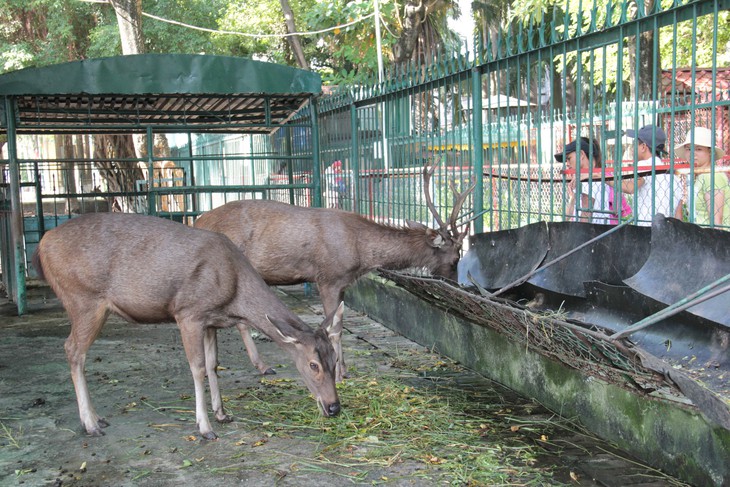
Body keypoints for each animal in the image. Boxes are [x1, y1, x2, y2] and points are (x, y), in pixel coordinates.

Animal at [32, 212, 344, 440]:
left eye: (334, 359)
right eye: (313, 365)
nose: (334, 407)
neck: (234, 293)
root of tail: (42, 244)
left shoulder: (211, 321)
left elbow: (213, 364)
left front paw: (222, 413)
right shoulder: (188, 313)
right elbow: (196, 368)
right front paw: (204, 427)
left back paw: (98, 418)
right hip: (83, 299)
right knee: (73, 350)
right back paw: (90, 423)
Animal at [193, 162, 474, 384]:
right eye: (456, 257)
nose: (456, 284)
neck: (360, 251)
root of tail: (197, 220)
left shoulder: (343, 284)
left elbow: (339, 323)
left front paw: (344, 370)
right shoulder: (328, 278)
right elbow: (335, 329)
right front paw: (339, 374)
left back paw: (259, 366)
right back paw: (258, 365)